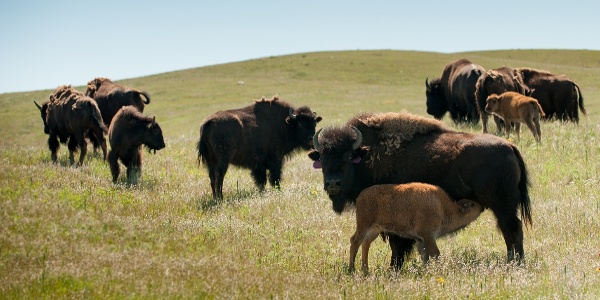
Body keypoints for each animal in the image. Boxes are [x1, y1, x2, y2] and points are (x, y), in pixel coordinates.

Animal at [350, 182, 486, 274]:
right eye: (472, 204)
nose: (482, 206)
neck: (442, 207)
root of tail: (360, 197)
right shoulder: (428, 235)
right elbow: (435, 253)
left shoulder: (421, 239)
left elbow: (424, 255)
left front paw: (426, 269)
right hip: (364, 225)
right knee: (355, 241)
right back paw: (352, 269)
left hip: (375, 229)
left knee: (365, 243)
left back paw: (365, 270)